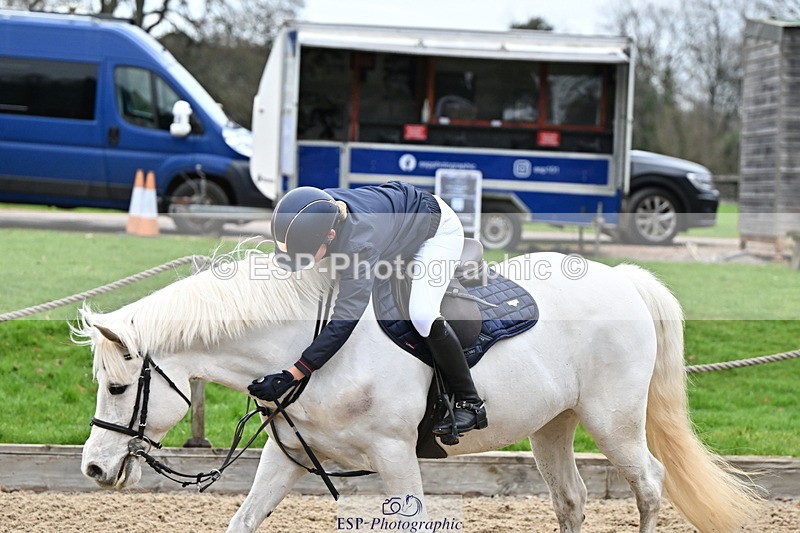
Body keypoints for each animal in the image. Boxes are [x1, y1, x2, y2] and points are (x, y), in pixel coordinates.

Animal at [73, 250, 762, 533]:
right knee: (571, 501)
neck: (314, 347)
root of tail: (622, 278)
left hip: (613, 421)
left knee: (649, 483)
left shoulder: (396, 455)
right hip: (552, 427)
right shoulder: (288, 456)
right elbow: (243, 521)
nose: (94, 469)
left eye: (118, 386)